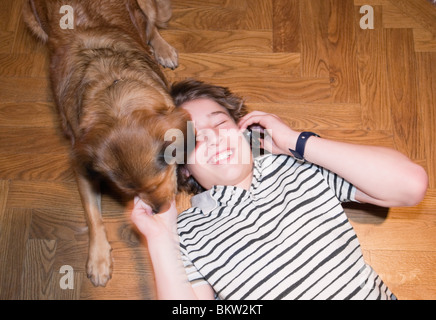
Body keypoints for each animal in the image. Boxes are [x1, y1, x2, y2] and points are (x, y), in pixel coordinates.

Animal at [23, 0, 188, 284]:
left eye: (160, 180)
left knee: (150, 25)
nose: (160, 210)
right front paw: (99, 257)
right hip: (33, 20)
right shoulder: (82, 164)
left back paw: (162, 48)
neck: (113, 91)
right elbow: (92, 215)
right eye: (131, 193)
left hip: (141, 10)